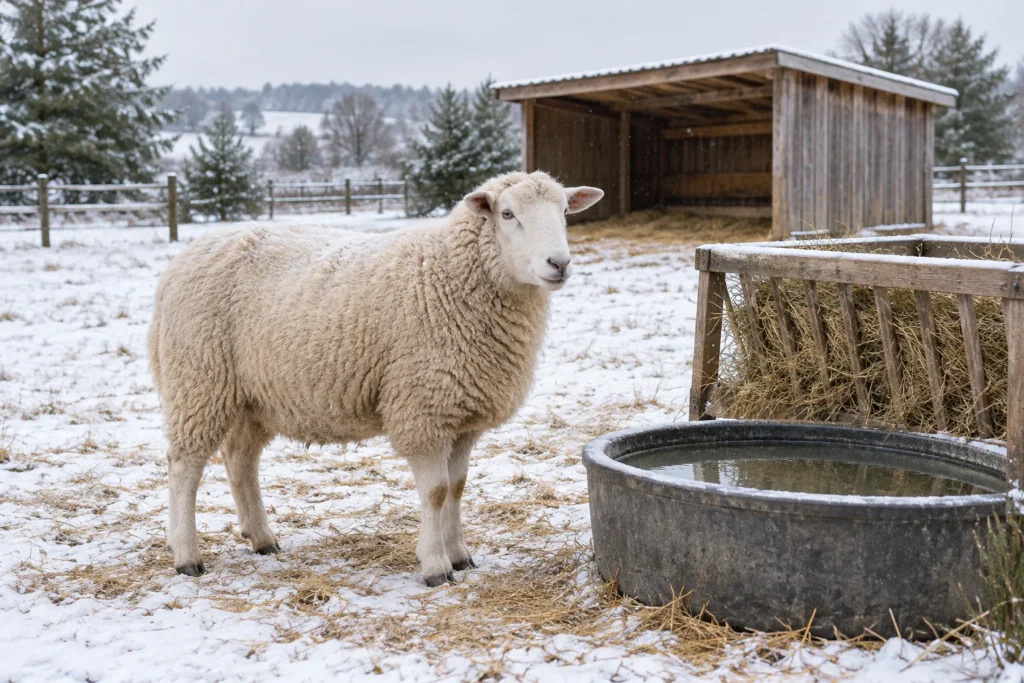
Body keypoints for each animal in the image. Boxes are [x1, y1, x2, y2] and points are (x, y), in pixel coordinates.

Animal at [147, 171, 603, 586]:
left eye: (564, 212)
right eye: (507, 214)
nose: (559, 264)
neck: (449, 276)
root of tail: (183, 259)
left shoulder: (462, 415)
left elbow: (457, 487)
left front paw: (460, 555)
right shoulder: (423, 409)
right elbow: (436, 492)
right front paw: (436, 566)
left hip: (254, 396)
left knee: (240, 460)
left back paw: (262, 539)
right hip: (199, 380)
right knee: (184, 466)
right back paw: (187, 557)